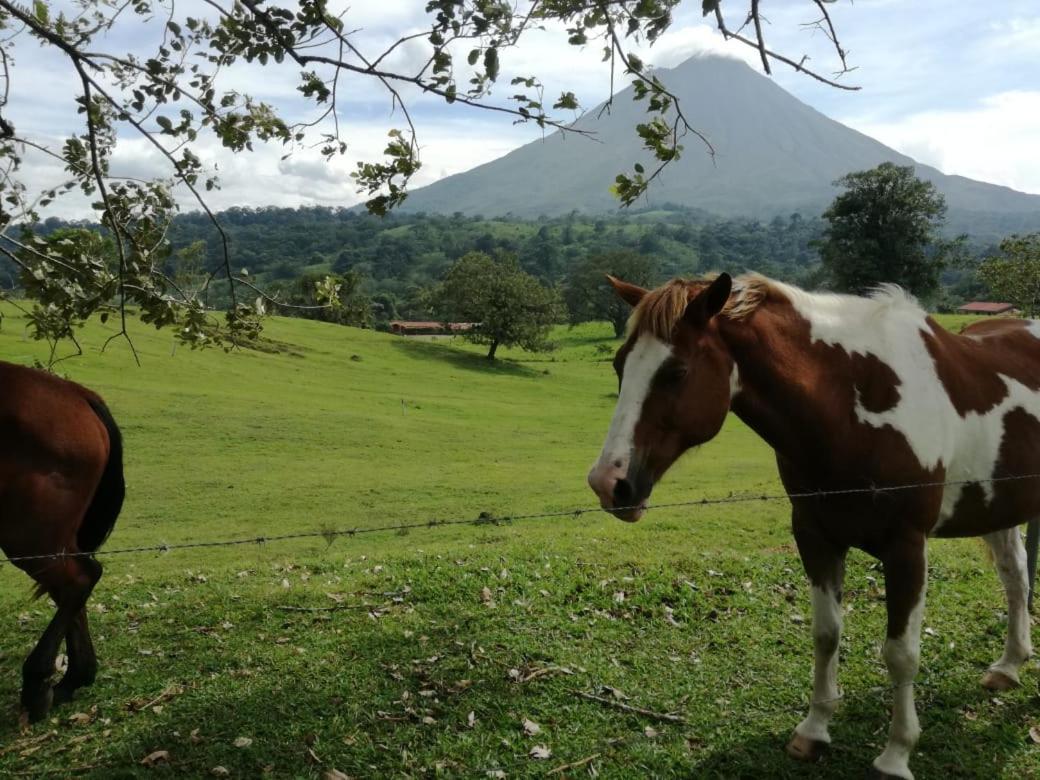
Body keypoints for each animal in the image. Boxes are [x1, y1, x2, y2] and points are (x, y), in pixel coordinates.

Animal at [0, 364, 123, 723]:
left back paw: (38, 683)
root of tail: (80, 394)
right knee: (72, 582)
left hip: (28, 530)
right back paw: (73, 678)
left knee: (79, 578)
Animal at [594, 274, 1040, 780]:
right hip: (998, 509)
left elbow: (901, 653)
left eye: (676, 372)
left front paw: (896, 753)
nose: (609, 482)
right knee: (1015, 578)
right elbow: (826, 635)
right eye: (620, 364)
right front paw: (814, 731)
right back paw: (1009, 665)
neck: (852, 406)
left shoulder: (906, 547)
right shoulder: (815, 538)